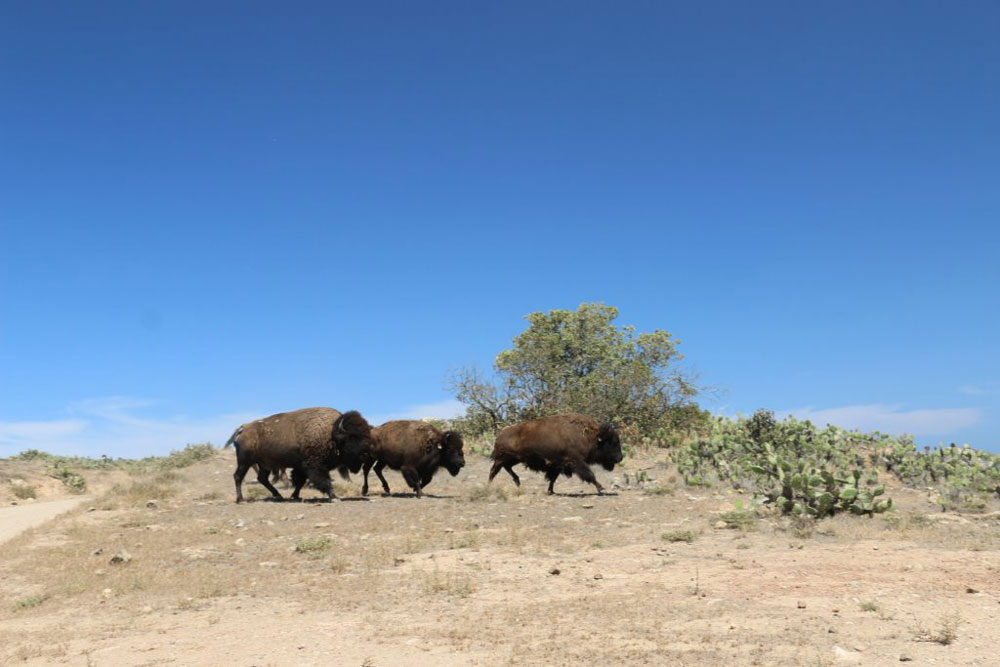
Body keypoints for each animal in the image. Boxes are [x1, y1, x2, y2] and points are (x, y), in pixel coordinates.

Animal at [226, 407, 373, 503]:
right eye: (352, 437)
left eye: (367, 434)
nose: (366, 454)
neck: (331, 433)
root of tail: (243, 429)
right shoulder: (314, 465)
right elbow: (323, 480)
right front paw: (334, 497)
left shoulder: (302, 466)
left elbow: (300, 481)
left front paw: (295, 496)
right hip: (245, 461)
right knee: (238, 476)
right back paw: (241, 500)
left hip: (265, 465)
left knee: (262, 478)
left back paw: (278, 496)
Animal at [488, 413, 622, 495]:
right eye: (612, 442)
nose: (620, 458)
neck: (590, 436)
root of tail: (501, 433)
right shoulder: (576, 462)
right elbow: (589, 475)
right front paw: (600, 487)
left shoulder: (558, 465)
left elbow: (553, 479)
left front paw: (550, 491)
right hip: (503, 458)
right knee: (494, 470)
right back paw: (489, 485)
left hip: (514, 459)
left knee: (506, 468)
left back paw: (517, 482)